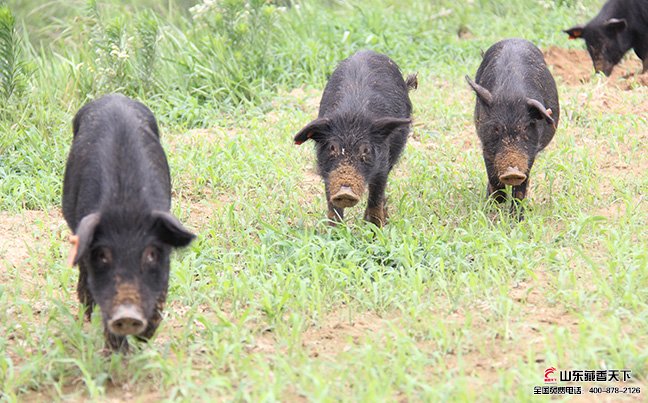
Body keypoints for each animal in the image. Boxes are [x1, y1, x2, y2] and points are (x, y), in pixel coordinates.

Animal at [63, 94, 195, 354]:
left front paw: (144, 339)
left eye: (151, 253)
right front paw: (119, 352)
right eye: (103, 255)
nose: (127, 314)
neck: (126, 207)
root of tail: (114, 96)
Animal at [294, 49, 416, 227]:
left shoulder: (382, 165)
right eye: (332, 147)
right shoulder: (326, 171)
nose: (345, 192)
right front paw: (334, 230)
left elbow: (376, 197)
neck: (351, 116)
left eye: (365, 149)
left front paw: (375, 228)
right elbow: (332, 205)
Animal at [466, 39, 556, 216]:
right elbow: (492, 175)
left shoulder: (531, 151)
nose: (512, 172)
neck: (511, 96)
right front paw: (497, 203)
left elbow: (522, 187)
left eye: (526, 127)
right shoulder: (485, 145)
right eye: (496, 128)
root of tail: (514, 38)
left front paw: (516, 217)